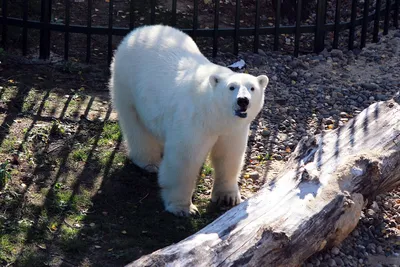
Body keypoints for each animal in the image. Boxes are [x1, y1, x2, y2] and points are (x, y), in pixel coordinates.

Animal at [108, 24, 268, 218]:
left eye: (252, 88)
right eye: (232, 87)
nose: (243, 101)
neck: (213, 113)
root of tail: (139, 31)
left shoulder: (232, 130)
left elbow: (228, 156)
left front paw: (228, 197)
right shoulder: (194, 121)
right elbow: (184, 159)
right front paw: (184, 208)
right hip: (127, 84)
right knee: (136, 126)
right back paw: (149, 162)